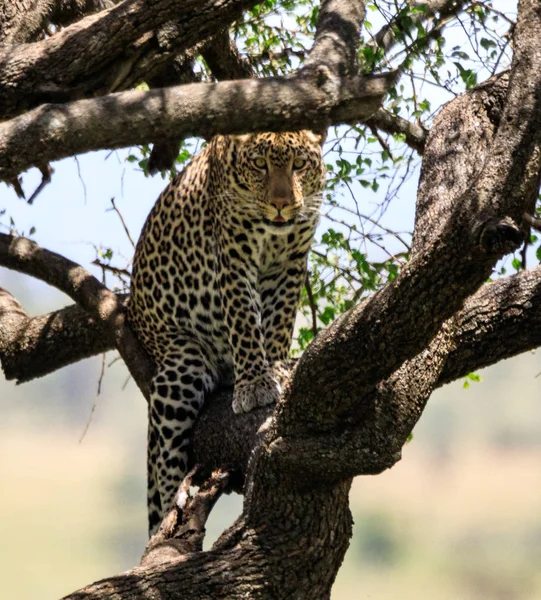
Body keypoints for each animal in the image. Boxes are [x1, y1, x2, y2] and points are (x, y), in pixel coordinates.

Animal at [129, 131, 326, 536]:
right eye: (260, 165)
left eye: (299, 164)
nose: (282, 204)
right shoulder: (234, 256)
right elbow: (244, 320)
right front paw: (254, 384)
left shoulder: (291, 261)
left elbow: (279, 319)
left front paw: (277, 367)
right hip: (181, 367)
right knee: (163, 470)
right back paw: (168, 523)